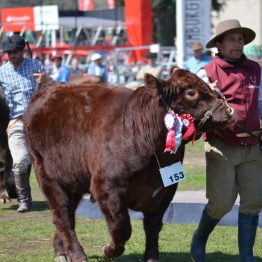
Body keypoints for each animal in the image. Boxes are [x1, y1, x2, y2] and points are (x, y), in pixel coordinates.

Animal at [23, 68, 234, 262]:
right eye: (191, 92)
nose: (229, 112)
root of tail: (50, 86)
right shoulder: (106, 186)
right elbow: (122, 227)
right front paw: (108, 251)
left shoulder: (166, 191)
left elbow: (153, 227)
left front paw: (151, 258)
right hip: (47, 176)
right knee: (62, 215)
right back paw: (76, 255)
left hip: (72, 180)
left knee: (66, 215)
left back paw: (61, 251)